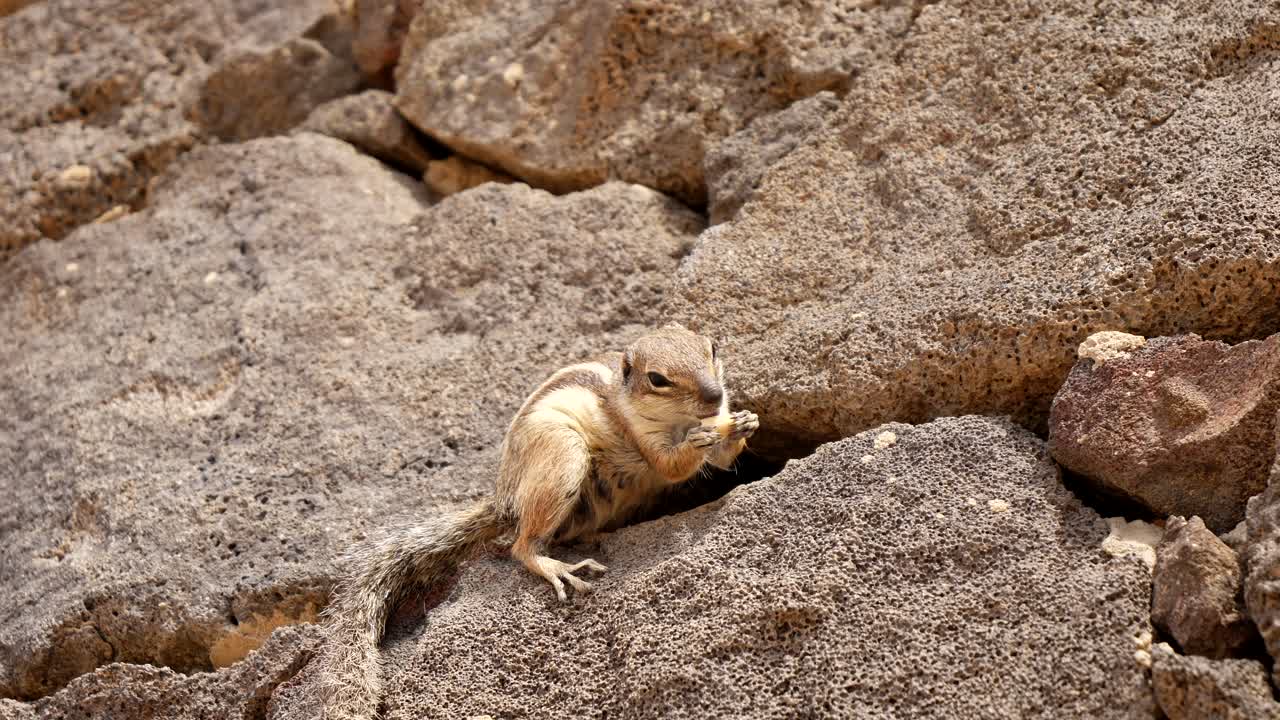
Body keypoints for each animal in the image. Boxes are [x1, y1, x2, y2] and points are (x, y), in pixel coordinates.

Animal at [315, 323, 759, 719]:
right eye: (657, 379)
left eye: (712, 348)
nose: (714, 394)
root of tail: (505, 499)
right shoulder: (642, 437)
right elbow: (670, 466)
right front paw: (698, 442)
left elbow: (722, 459)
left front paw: (744, 424)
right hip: (562, 455)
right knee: (522, 546)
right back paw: (557, 567)